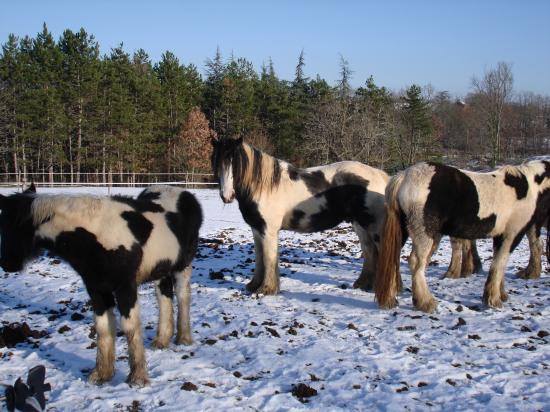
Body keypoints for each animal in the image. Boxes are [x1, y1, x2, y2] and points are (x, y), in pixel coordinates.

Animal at [0, 185, 204, 384]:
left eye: (9, 227)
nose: (7, 264)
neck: (96, 237)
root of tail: (185, 195)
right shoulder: (96, 289)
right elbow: (103, 327)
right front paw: (101, 374)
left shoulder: (125, 287)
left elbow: (129, 326)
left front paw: (138, 376)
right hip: (161, 270)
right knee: (164, 298)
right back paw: (162, 340)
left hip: (183, 266)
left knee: (183, 296)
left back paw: (183, 338)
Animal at [209, 137, 390, 294]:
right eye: (217, 162)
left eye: (236, 163)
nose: (226, 196)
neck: (264, 186)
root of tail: (380, 175)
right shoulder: (257, 230)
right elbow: (260, 258)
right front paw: (254, 285)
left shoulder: (268, 231)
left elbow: (269, 258)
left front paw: (266, 289)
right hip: (360, 224)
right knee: (369, 251)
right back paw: (363, 284)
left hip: (374, 227)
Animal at [376, 160, 550, 312]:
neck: (527, 188)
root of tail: (404, 177)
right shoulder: (510, 235)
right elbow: (499, 264)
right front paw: (493, 299)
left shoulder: (500, 236)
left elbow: (498, 262)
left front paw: (501, 294)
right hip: (425, 233)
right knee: (416, 263)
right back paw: (426, 302)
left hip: (405, 232)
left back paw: (392, 299)